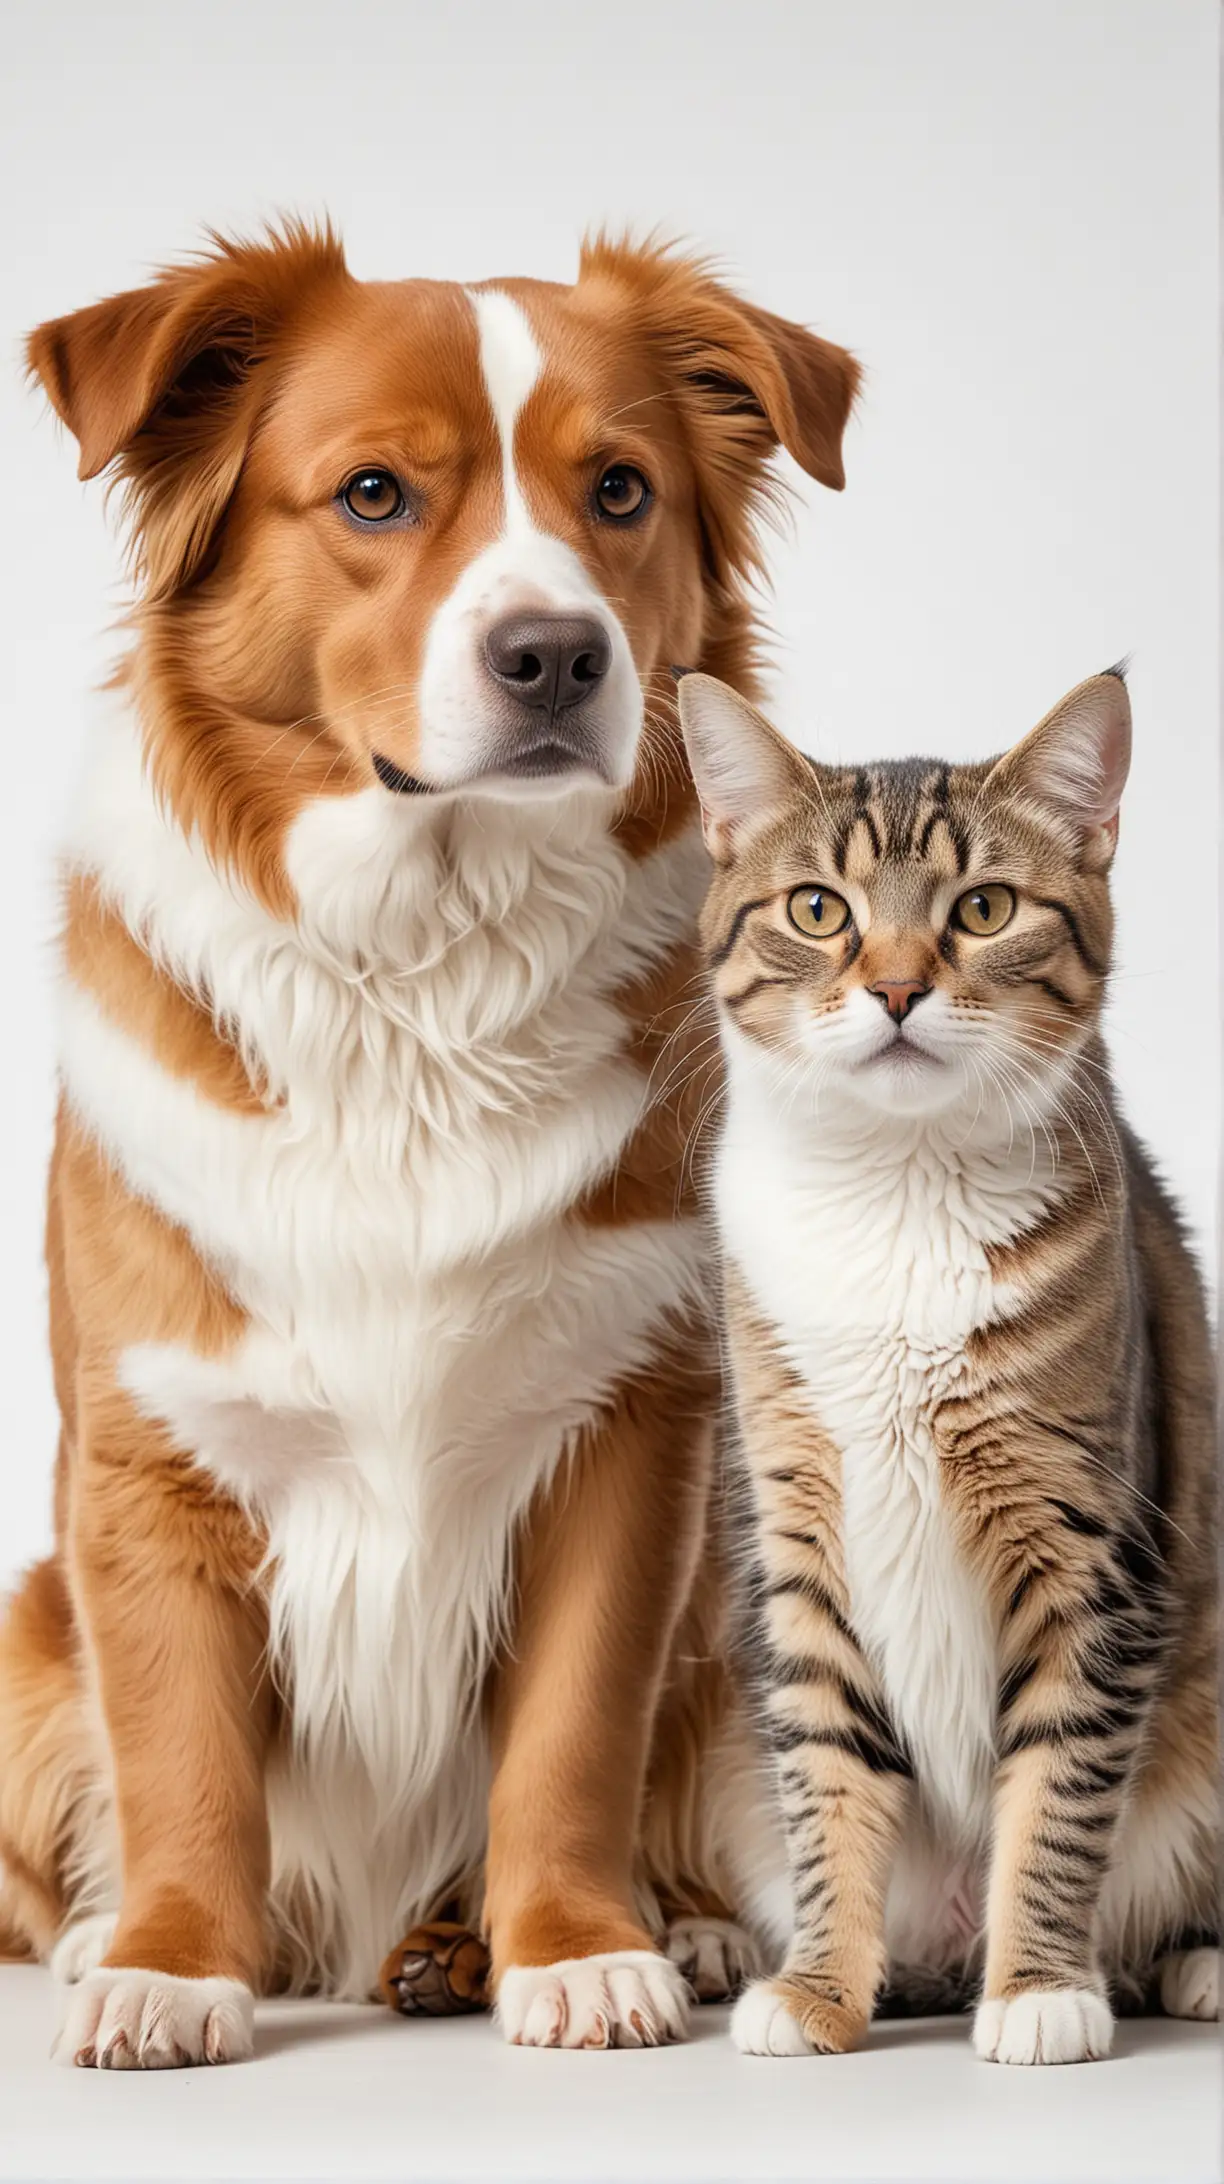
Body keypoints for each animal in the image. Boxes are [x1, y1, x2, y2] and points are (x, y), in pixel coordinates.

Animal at [0, 221, 861, 2061]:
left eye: (619, 489)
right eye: (376, 494)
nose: (556, 655)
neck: (422, 976)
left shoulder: (629, 1439)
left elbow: (571, 1735)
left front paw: (575, 1949)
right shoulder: (151, 1453)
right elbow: (182, 1752)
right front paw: (171, 1962)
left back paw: (597, 1934)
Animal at [673, 663, 1215, 2061]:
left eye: (983, 909)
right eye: (819, 909)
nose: (900, 988)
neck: (899, 1191)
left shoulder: (1087, 1543)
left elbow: (1060, 1785)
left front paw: (1038, 1988)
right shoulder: (801, 1529)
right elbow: (824, 1777)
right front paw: (820, 1985)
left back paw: (1188, 1962)